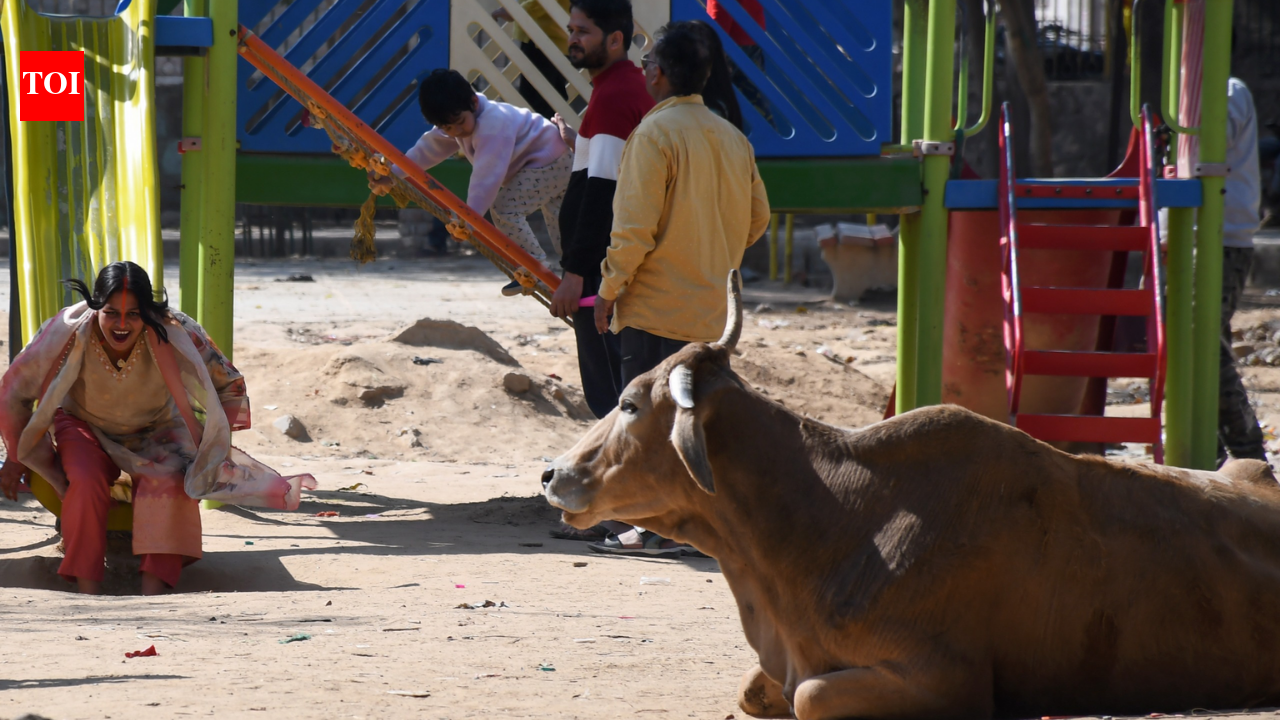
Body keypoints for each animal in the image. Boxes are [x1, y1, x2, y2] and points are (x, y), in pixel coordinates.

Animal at [541, 270, 1280, 720]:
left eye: (630, 403)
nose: (551, 473)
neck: (833, 521)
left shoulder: (946, 679)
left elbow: (809, 696)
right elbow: (758, 688)